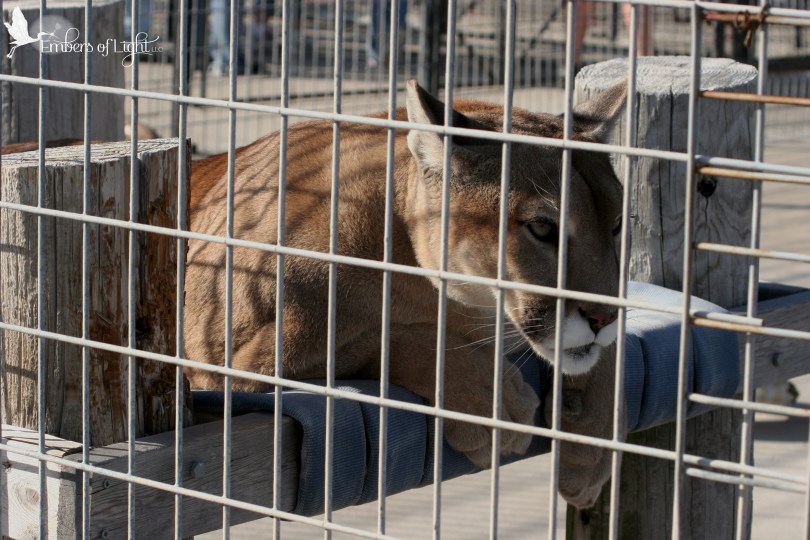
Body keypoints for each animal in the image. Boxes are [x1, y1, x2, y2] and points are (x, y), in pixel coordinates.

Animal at [185, 80, 627, 508]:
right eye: (541, 228)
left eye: (618, 224)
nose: (602, 318)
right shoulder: (230, 363)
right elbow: (390, 338)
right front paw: (494, 400)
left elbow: (604, 349)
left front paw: (591, 441)